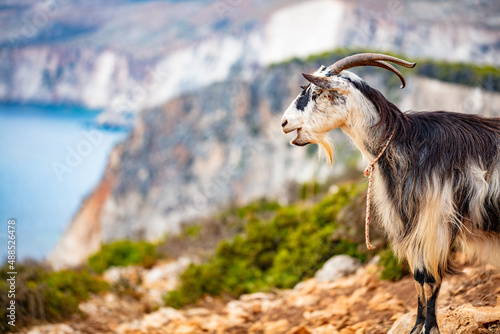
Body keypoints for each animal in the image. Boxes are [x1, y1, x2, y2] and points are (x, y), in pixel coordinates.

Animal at [282, 52, 500, 334]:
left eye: (318, 92)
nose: (284, 123)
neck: (406, 143)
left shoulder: (433, 223)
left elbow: (431, 279)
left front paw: (430, 328)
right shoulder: (412, 225)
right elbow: (419, 278)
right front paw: (416, 328)